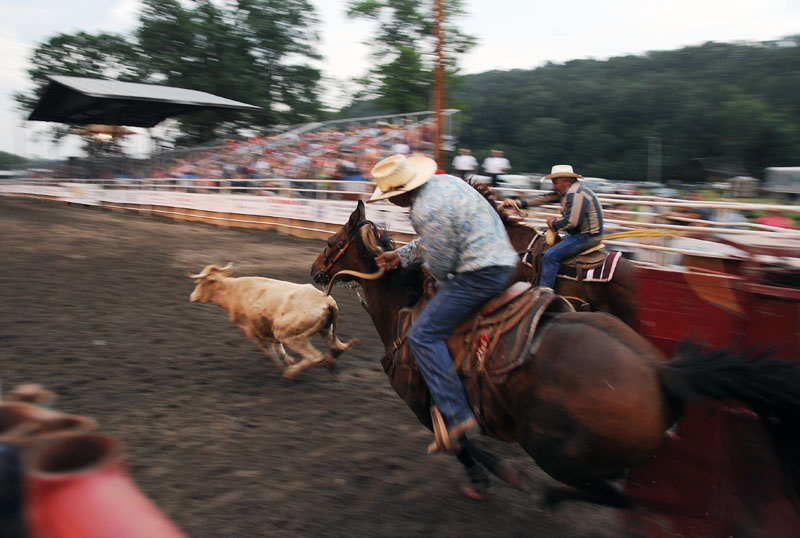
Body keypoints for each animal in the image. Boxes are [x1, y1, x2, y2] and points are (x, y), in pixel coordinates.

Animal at [310, 200, 800, 506]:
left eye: (333, 241)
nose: (315, 270)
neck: (406, 309)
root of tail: (660, 371)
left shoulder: (421, 401)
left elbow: (462, 444)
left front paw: (490, 477)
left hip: (554, 449)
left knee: (614, 496)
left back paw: (550, 494)